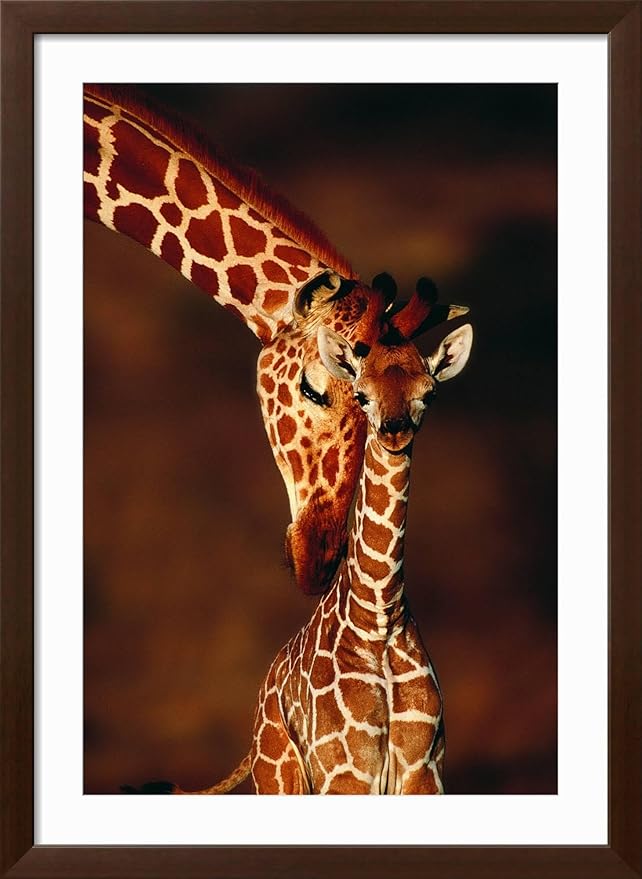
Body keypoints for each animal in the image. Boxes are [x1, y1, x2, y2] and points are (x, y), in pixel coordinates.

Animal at [137, 289, 473, 795]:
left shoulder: (425, 772)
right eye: (362, 394)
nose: (394, 429)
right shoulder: (345, 773)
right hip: (280, 776)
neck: (380, 617)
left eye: (428, 393)